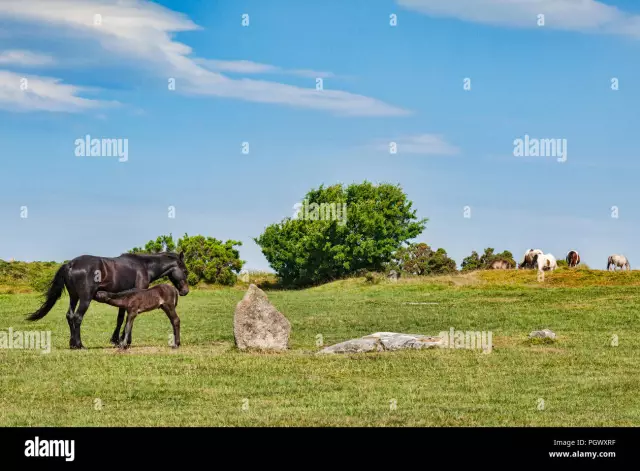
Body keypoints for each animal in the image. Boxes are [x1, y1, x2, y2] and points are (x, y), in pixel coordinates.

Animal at [25, 253, 190, 348]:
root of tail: (70, 264)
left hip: (74, 297)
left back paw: (72, 344)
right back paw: (80, 345)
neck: (144, 266)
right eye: (185, 271)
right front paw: (125, 341)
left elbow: (120, 318)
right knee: (77, 317)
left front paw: (116, 340)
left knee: (70, 316)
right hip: (85, 298)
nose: (185, 291)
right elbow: (126, 319)